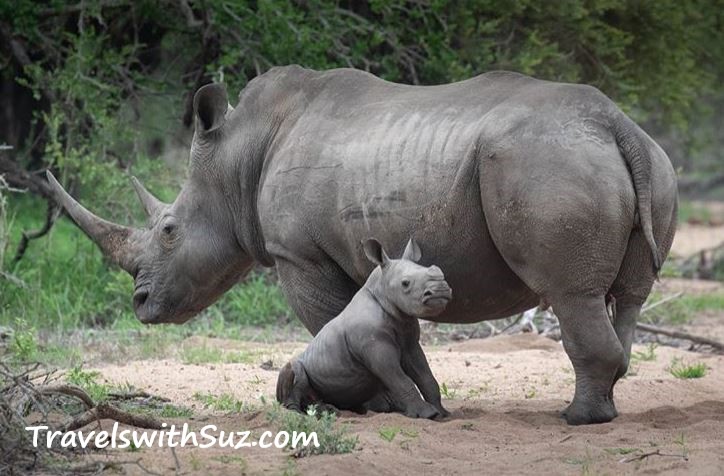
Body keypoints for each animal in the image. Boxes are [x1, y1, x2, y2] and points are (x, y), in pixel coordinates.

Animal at [278, 236, 452, 418]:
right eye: (405, 283)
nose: (440, 290)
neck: (382, 292)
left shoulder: (409, 342)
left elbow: (425, 376)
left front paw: (442, 414)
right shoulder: (375, 346)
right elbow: (400, 380)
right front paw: (427, 415)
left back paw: (332, 411)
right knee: (293, 370)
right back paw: (298, 414)